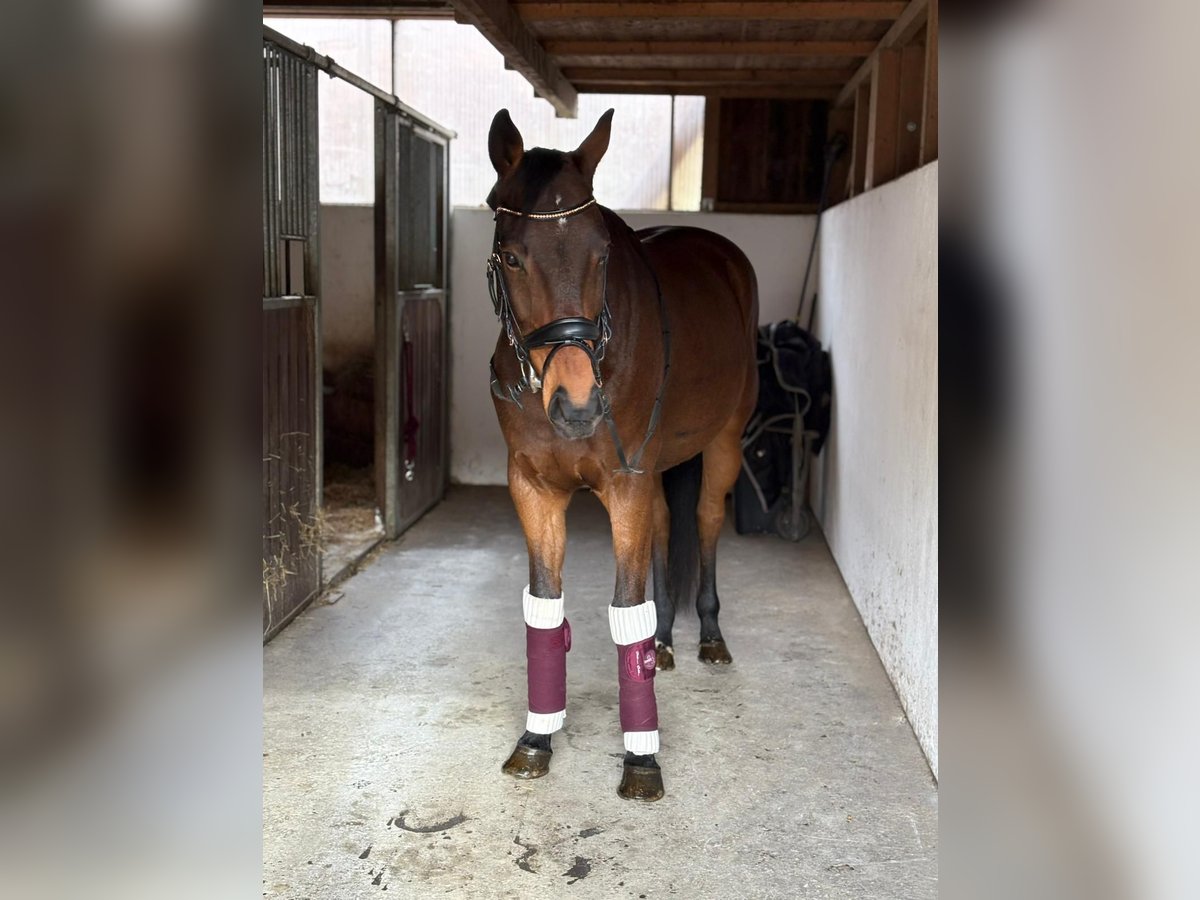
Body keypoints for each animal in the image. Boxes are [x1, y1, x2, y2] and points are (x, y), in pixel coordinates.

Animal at [485, 108, 759, 801]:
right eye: (513, 256)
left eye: (601, 252)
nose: (579, 404)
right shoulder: (535, 490)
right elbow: (544, 612)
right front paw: (537, 738)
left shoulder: (626, 482)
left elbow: (624, 610)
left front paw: (642, 757)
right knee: (665, 525)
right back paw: (662, 642)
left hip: (723, 442)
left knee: (705, 520)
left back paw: (708, 636)